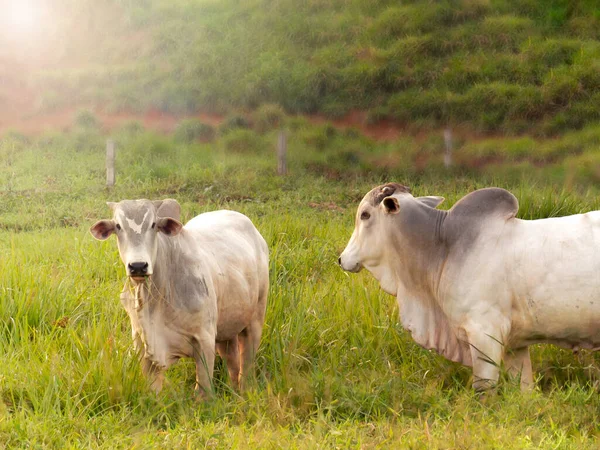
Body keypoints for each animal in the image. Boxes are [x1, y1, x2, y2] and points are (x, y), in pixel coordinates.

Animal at [90, 199, 268, 396]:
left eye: (153, 224)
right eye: (118, 226)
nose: (138, 266)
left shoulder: (205, 338)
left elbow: (203, 392)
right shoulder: (141, 341)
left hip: (255, 318)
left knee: (247, 363)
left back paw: (245, 391)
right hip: (227, 327)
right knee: (232, 361)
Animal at [340, 182, 600, 390]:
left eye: (365, 215)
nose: (342, 259)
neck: (443, 246)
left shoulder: (485, 333)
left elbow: (483, 389)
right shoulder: (516, 344)